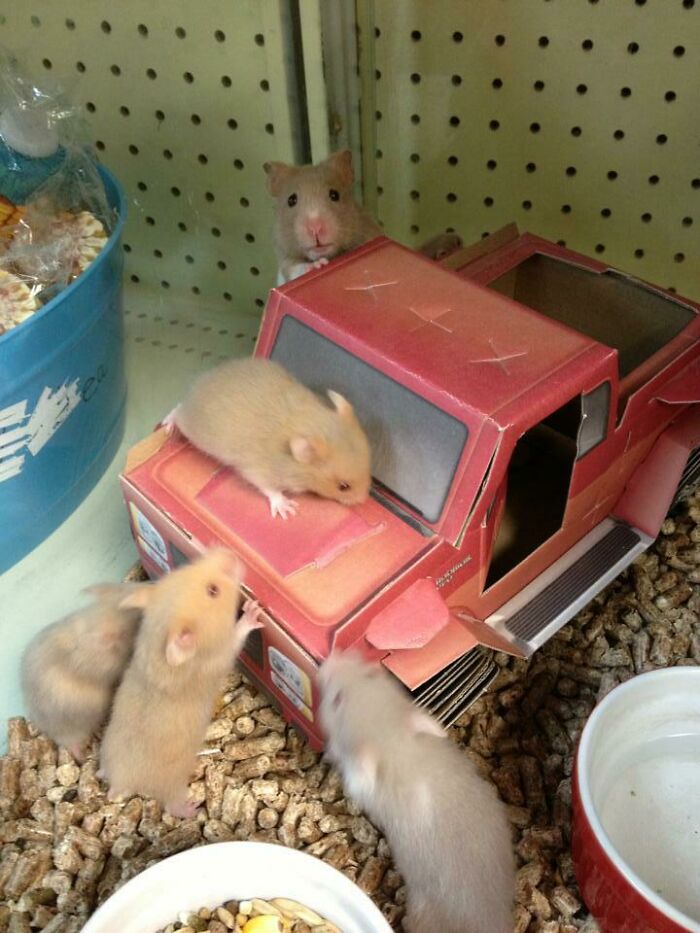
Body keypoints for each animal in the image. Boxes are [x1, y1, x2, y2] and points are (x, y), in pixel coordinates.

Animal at [102, 548, 266, 816]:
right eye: (213, 591)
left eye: (186, 567)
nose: (229, 552)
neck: (155, 643)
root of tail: (120, 782)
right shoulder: (221, 653)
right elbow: (238, 634)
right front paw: (252, 611)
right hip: (172, 785)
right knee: (171, 805)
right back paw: (192, 808)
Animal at [169, 354, 372, 516]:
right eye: (343, 487)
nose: (362, 500)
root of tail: (200, 383)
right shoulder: (259, 472)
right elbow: (271, 490)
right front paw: (287, 510)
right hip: (193, 428)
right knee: (177, 409)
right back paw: (169, 425)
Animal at [262, 149, 460, 284]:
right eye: (291, 200)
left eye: (334, 195)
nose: (315, 228)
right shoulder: (285, 259)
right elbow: (296, 268)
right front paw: (317, 266)